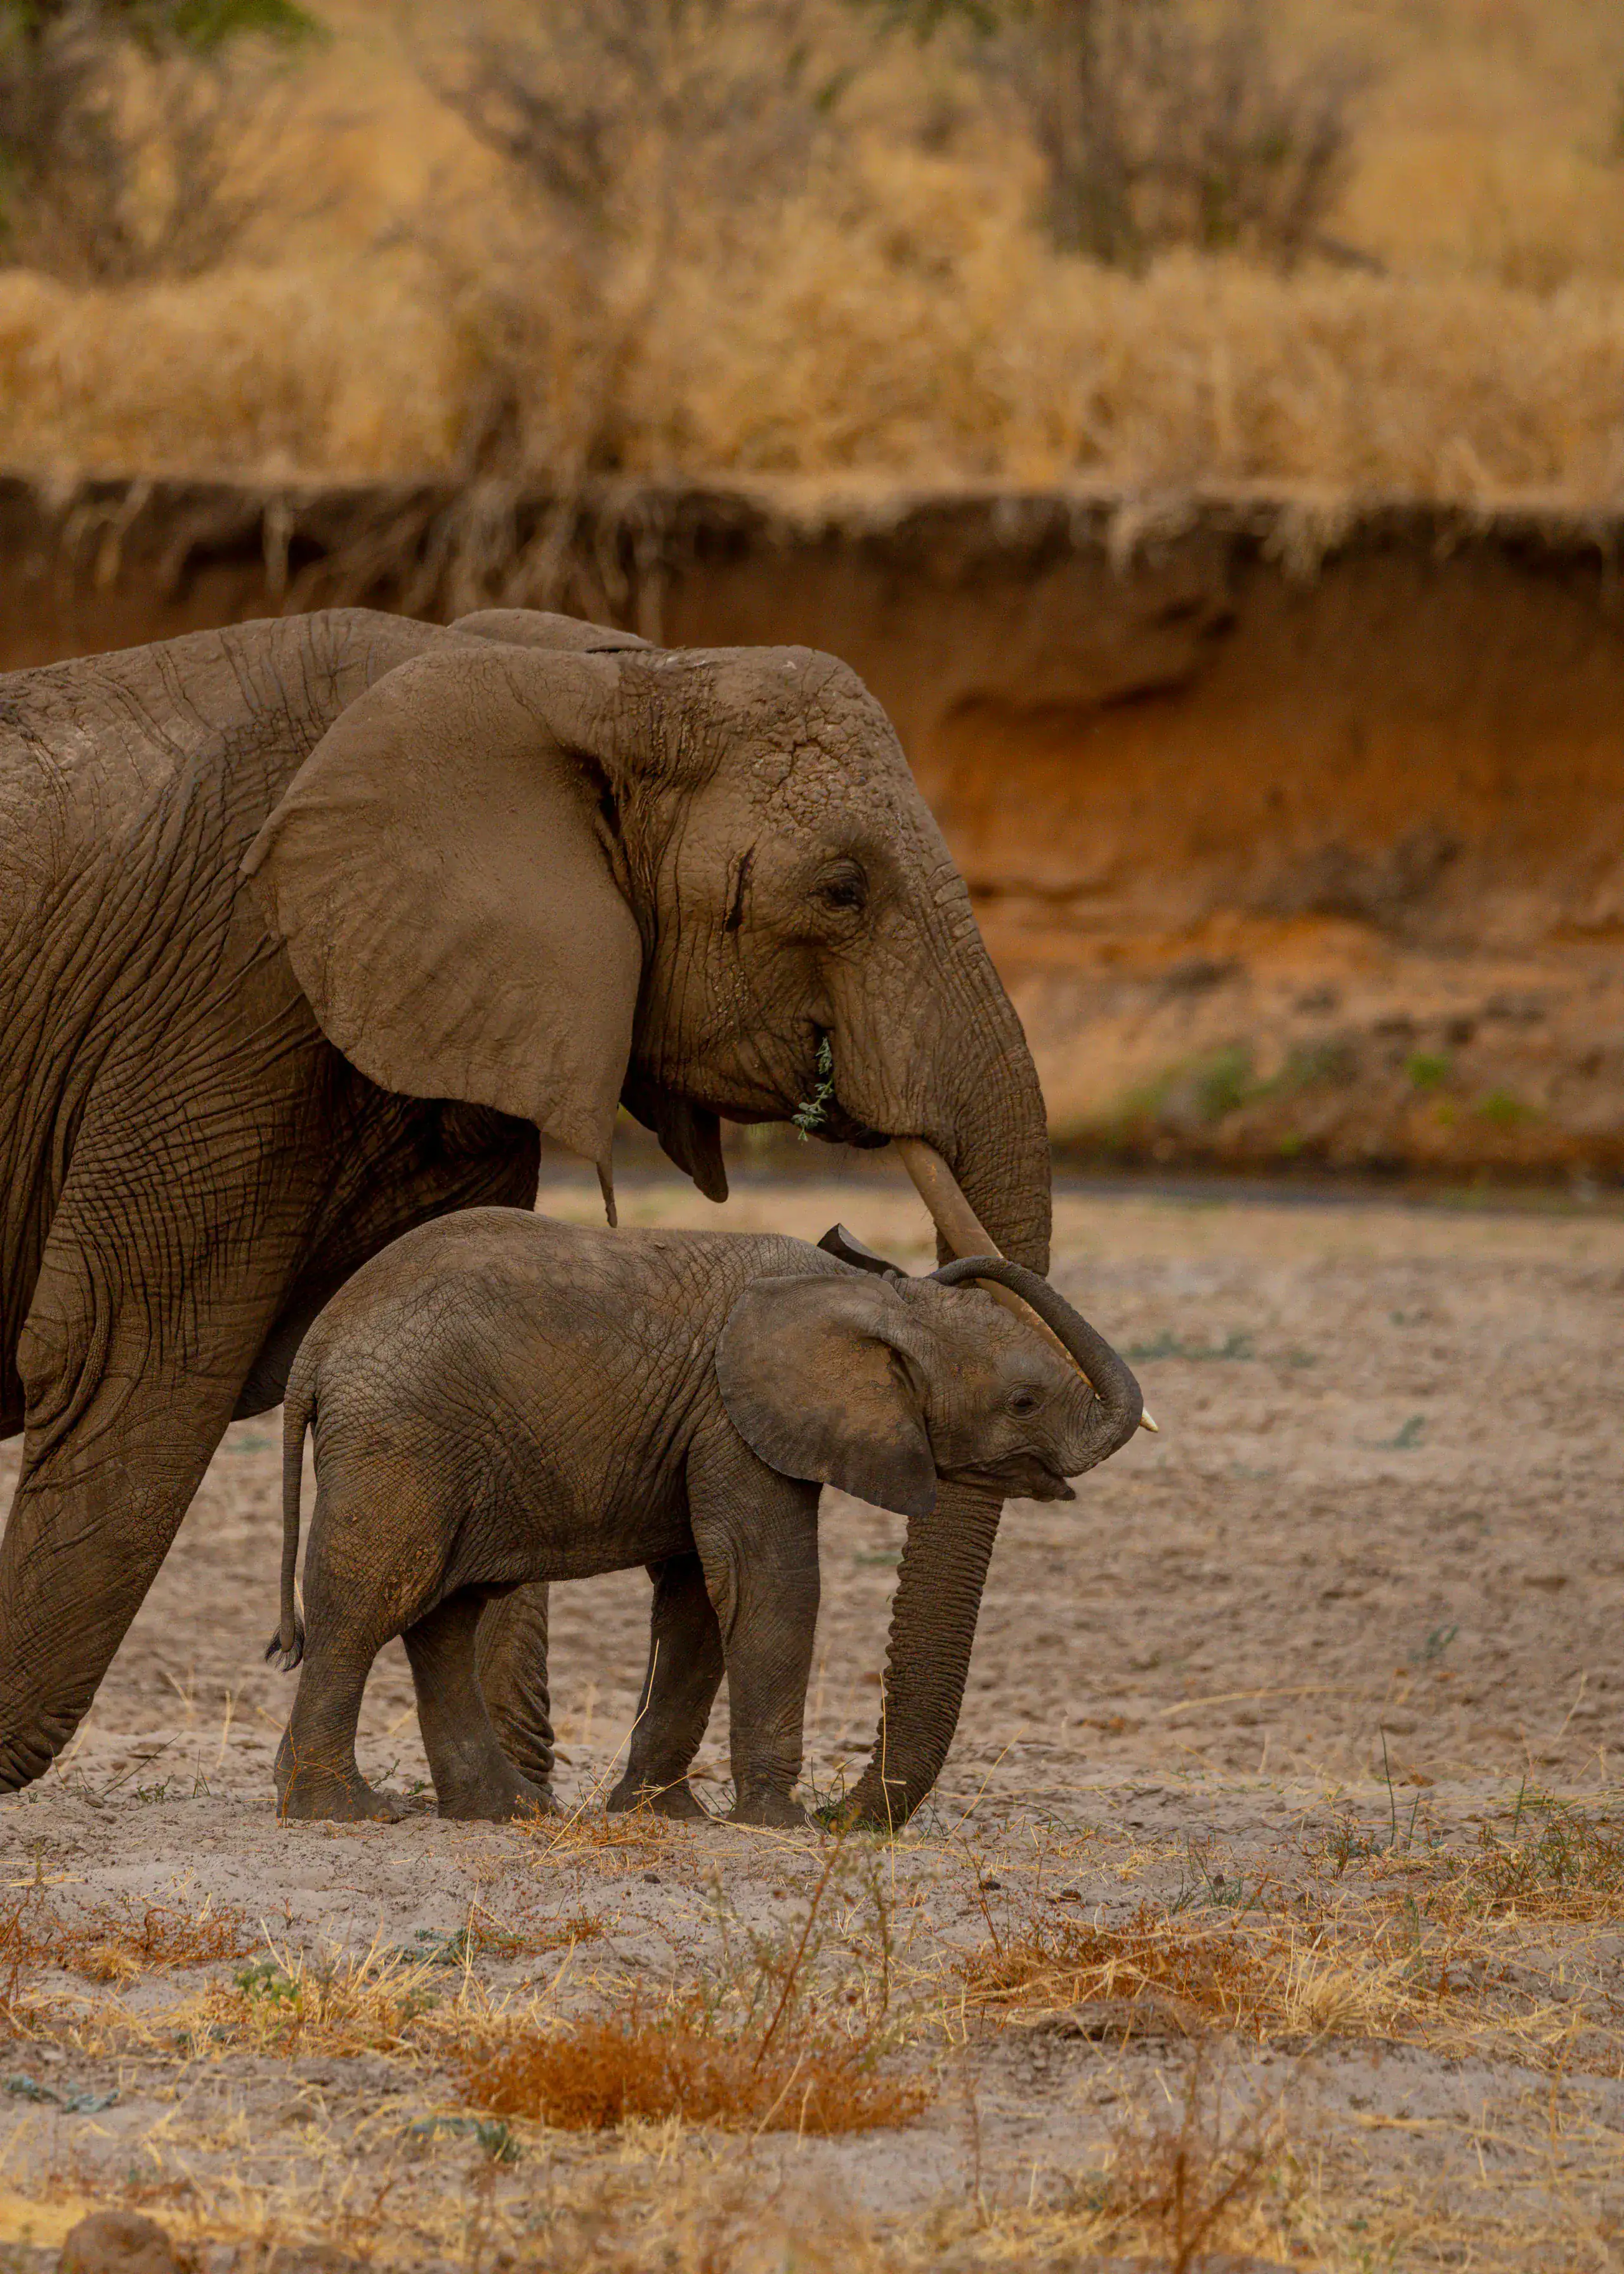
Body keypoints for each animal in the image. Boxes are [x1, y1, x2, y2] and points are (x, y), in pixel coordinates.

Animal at [0, 603, 1052, 1823]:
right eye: (844, 888)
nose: (847, 1813)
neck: (586, 678)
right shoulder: (226, 988)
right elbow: (127, 1356)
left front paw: (512, 1806)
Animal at [265, 1209, 1144, 1827]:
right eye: (1023, 1402)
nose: (840, 1818)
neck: (866, 1299)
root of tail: (316, 1345)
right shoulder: (734, 1419)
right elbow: (767, 1584)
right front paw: (782, 1824)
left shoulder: (710, 1429)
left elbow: (698, 1599)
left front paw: (665, 1815)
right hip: (402, 1436)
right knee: (371, 1599)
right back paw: (344, 1811)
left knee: (444, 1614)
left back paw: (506, 1811)